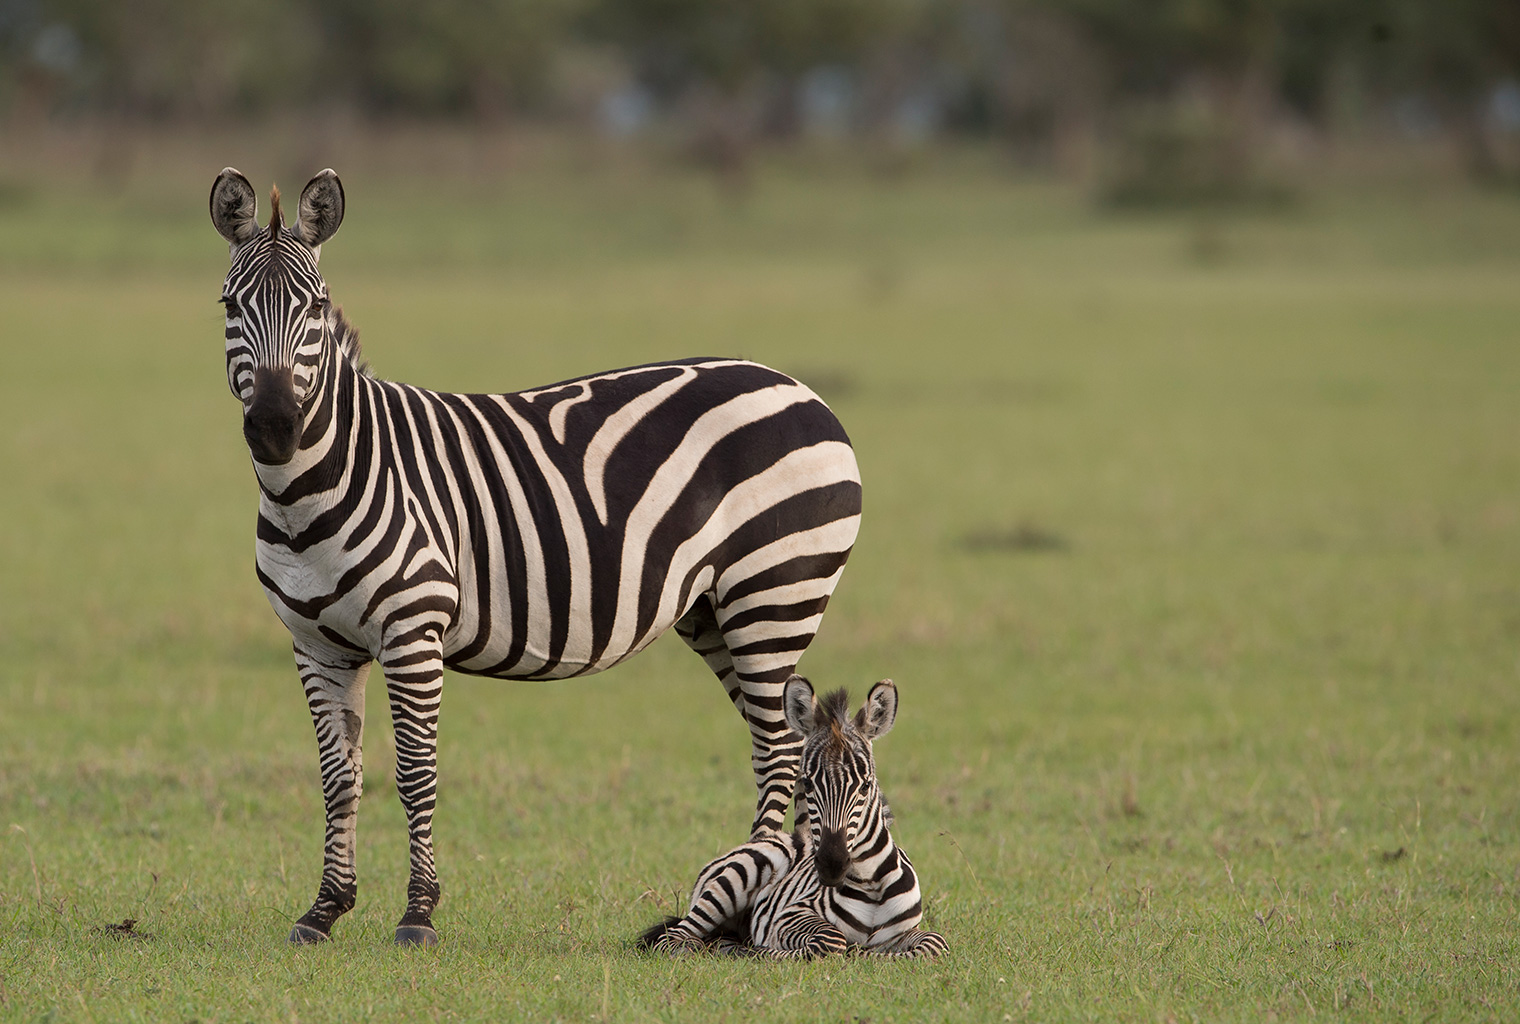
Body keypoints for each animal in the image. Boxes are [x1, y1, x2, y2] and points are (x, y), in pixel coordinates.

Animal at [208, 165, 863, 941]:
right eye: (229, 304)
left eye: (314, 308)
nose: (275, 426)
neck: (312, 487)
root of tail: (802, 389)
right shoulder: (316, 644)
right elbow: (341, 778)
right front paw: (325, 908)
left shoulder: (412, 631)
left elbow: (415, 773)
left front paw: (418, 914)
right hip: (715, 612)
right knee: (784, 747)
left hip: (774, 594)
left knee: (781, 749)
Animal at [635, 674, 942, 954]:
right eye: (806, 783)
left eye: (866, 786)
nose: (831, 865)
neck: (871, 883)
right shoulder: (791, 915)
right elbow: (831, 941)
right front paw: (770, 951)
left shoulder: (909, 931)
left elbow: (934, 943)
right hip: (739, 876)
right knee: (675, 939)